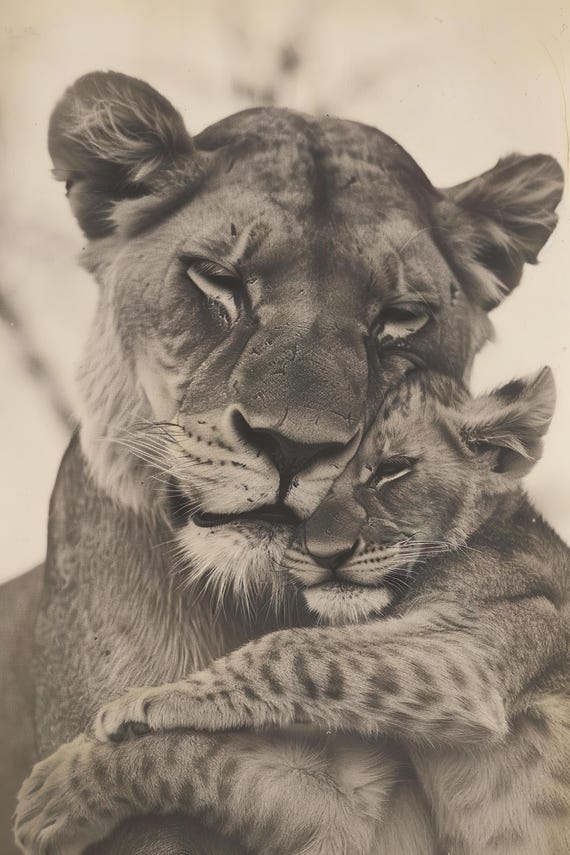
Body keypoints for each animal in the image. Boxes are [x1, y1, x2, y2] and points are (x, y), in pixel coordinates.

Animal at [1, 70, 563, 853]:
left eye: (402, 317)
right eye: (216, 279)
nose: (295, 446)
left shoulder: (463, 663)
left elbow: (287, 660)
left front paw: (127, 722)